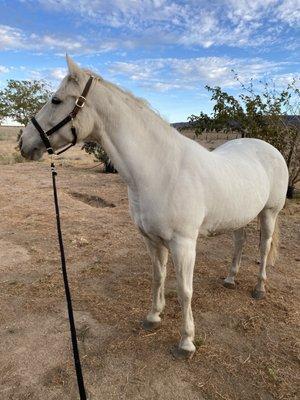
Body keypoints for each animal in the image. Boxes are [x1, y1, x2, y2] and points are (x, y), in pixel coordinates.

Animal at [20, 56, 288, 360]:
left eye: (56, 100)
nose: (23, 142)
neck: (160, 170)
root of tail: (268, 147)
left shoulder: (184, 244)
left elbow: (184, 290)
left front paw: (186, 342)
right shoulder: (151, 239)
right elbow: (158, 277)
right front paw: (153, 317)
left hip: (270, 213)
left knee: (264, 247)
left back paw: (259, 288)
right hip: (238, 216)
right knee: (239, 241)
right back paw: (231, 279)